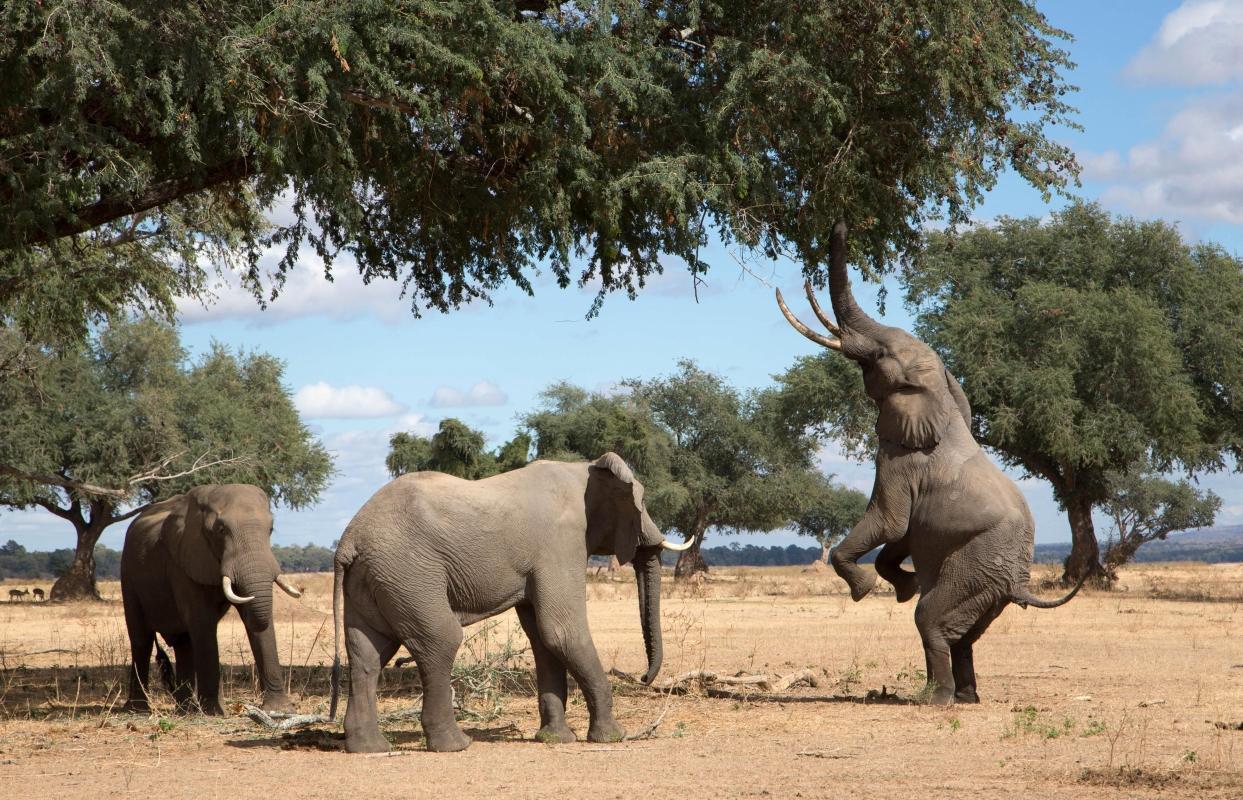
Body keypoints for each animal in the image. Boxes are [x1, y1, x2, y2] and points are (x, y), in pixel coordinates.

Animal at [119, 484, 304, 715]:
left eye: (270, 529)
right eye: (221, 530)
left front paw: (280, 710)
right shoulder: (184, 562)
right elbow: (202, 622)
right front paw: (214, 712)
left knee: (183, 643)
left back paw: (186, 710)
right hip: (128, 575)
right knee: (141, 639)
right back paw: (139, 710)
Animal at [328, 452, 691, 755]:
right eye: (641, 504)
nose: (643, 678)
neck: (584, 469)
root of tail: (348, 541)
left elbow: (544, 639)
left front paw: (555, 739)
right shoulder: (560, 543)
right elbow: (562, 632)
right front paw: (613, 737)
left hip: (377, 578)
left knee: (368, 653)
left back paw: (369, 748)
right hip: (408, 573)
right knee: (440, 641)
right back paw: (456, 745)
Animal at [775, 219, 1088, 705]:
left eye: (878, 356)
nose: (839, 221)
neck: (941, 394)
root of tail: (1019, 581)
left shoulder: (899, 459)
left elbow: (889, 522)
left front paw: (869, 590)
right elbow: (902, 535)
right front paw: (902, 585)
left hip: (977, 565)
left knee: (931, 618)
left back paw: (935, 699)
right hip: (987, 583)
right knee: (965, 635)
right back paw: (965, 697)